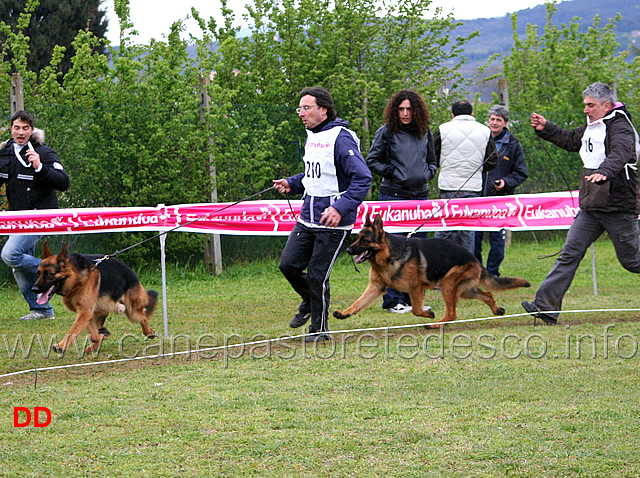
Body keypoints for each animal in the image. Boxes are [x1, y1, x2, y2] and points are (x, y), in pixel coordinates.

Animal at [332, 215, 532, 326]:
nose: (348, 250)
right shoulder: (375, 288)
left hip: (447, 284)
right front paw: (344, 313)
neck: (388, 257)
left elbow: (416, 310)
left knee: (452, 313)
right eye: (357, 238)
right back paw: (497, 310)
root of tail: (473, 258)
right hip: (464, 290)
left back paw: (435, 324)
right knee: (488, 295)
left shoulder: (416, 288)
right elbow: (358, 303)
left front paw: (428, 314)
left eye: (364, 240)